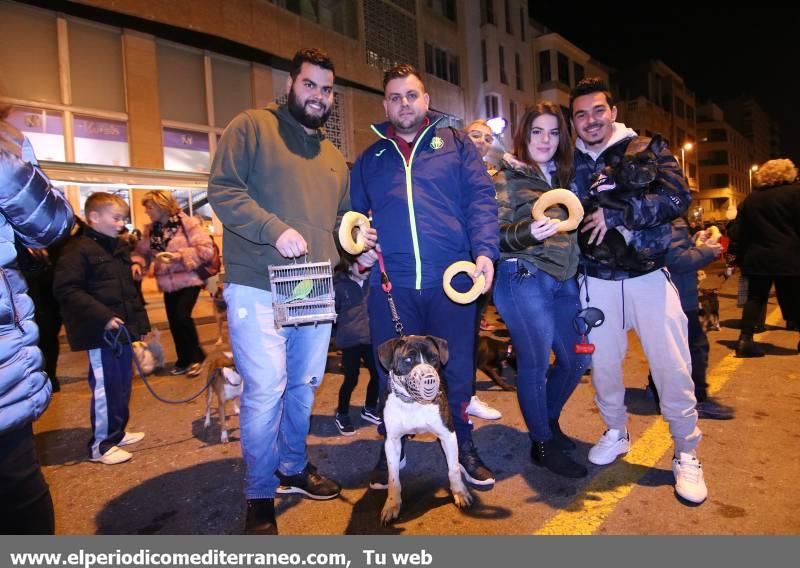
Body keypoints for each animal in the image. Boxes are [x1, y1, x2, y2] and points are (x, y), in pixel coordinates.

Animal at [378, 336, 472, 524]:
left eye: (433, 358)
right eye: (408, 360)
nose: (428, 377)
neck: (413, 403)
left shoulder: (448, 434)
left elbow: (453, 468)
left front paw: (459, 492)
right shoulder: (392, 441)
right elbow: (393, 478)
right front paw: (392, 504)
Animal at [580, 135, 664, 272]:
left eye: (652, 161)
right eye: (631, 166)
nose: (646, 170)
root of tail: (588, 252)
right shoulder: (604, 196)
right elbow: (626, 204)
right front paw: (628, 218)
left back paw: (642, 256)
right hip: (613, 236)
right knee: (623, 259)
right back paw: (643, 264)